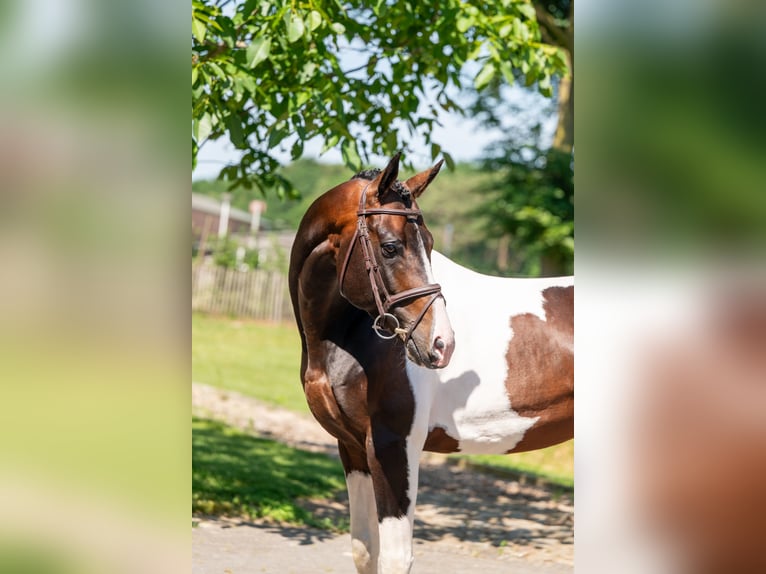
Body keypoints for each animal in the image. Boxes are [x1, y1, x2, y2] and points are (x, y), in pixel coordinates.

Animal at [288, 154, 573, 574]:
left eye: (430, 243)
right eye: (390, 247)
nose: (442, 342)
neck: (345, 337)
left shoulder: (394, 445)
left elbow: (394, 556)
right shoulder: (352, 448)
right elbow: (364, 549)